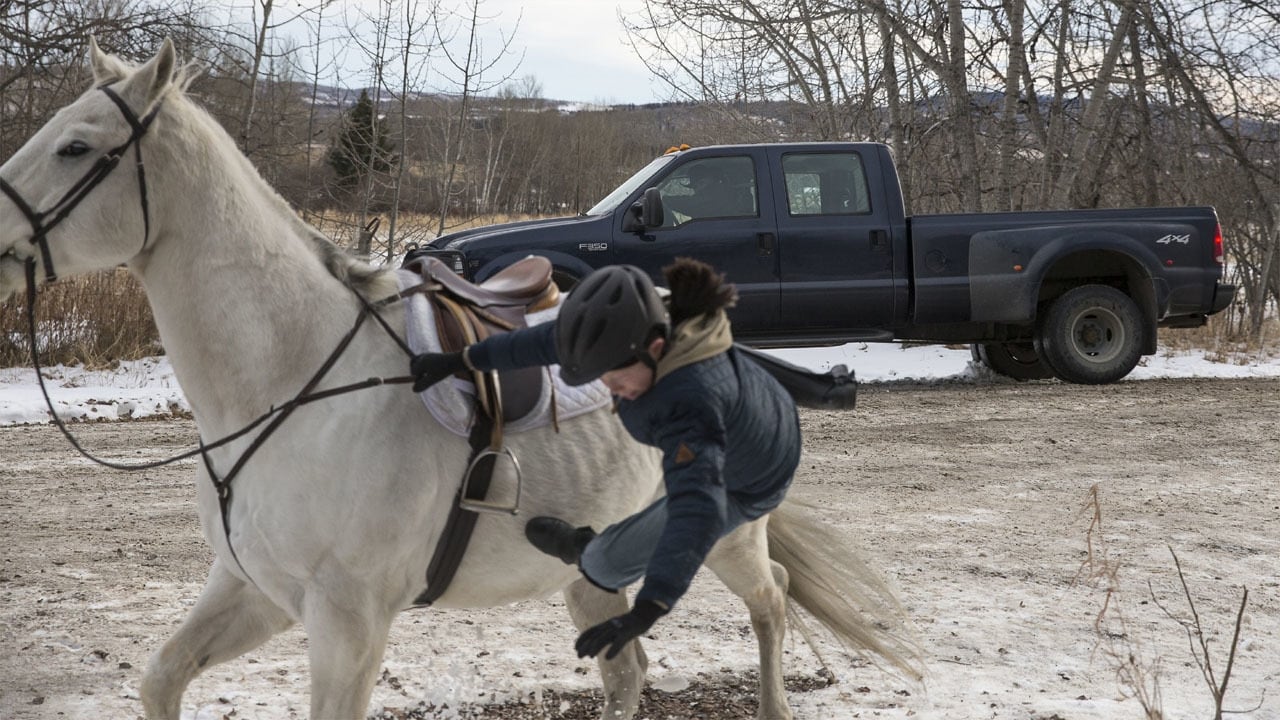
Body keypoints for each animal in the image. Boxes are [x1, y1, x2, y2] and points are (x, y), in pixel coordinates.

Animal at [0, 40, 921, 717]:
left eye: (77, 146)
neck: (294, 385)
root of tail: (710, 332)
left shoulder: (348, 623)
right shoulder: (254, 589)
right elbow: (162, 676)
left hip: (728, 535)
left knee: (772, 602)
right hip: (595, 576)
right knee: (629, 669)